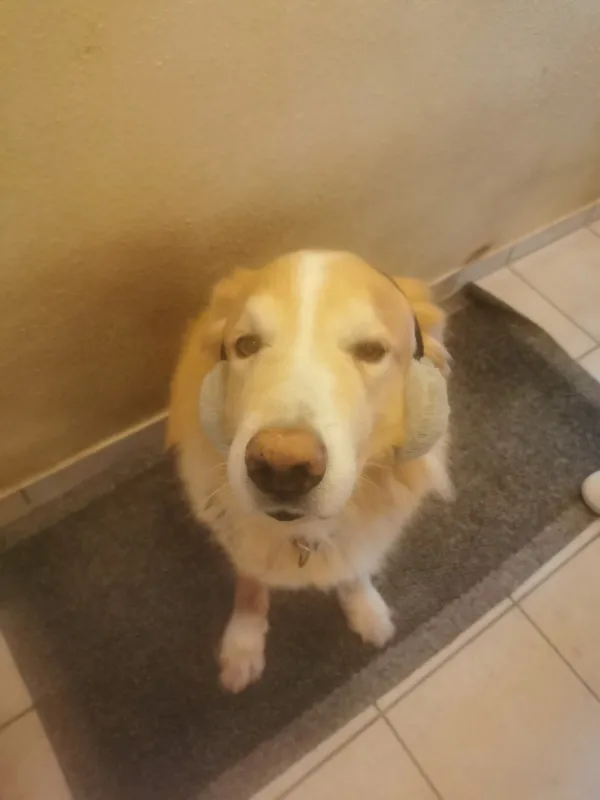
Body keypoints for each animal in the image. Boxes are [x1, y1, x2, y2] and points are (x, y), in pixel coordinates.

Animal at [167, 250, 452, 693]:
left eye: (371, 350)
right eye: (246, 345)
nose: (281, 467)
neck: (300, 534)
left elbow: (354, 570)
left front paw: (366, 610)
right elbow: (251, 586)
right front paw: (243, 643)